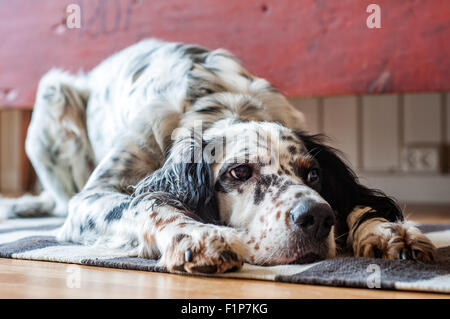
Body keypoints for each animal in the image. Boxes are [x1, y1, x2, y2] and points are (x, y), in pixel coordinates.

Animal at [0, 39, 436, 276]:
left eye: (312, 175)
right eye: (240, 172)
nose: (316, 218)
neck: (221, 102)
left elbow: (357, 203)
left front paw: (388, 231)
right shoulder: (91, 198)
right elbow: (145, 203)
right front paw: (196, 234)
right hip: (53, 94)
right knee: (58, 199)